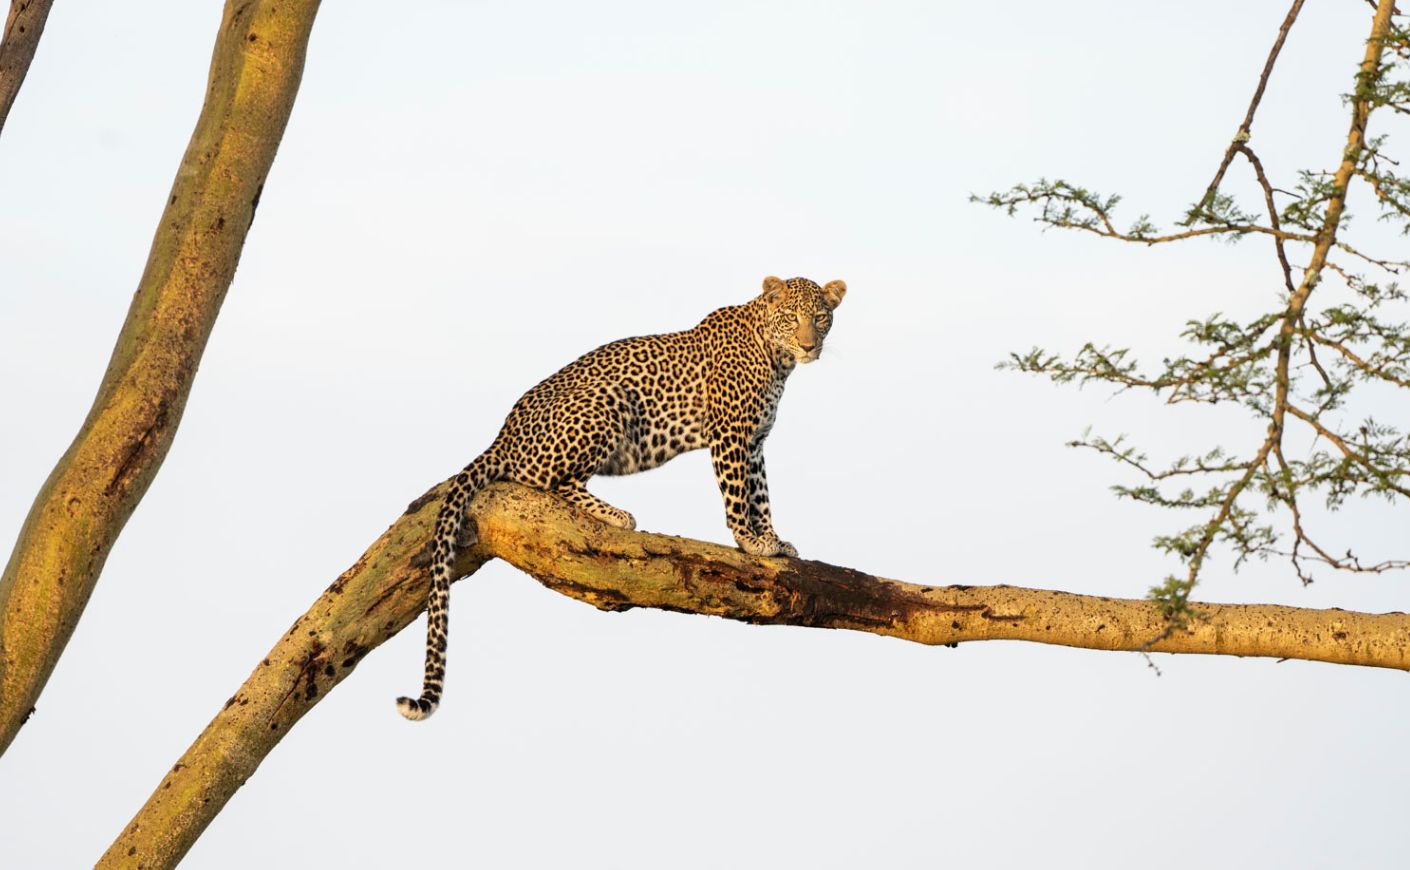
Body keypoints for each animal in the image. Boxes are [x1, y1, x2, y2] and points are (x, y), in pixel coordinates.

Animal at [397, 275, 847, 720]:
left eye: (820, 317)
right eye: (791, 317)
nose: (809, 345)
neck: (776, 358)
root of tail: (501, 436)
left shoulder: (754, 443)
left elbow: (761, 494)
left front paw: (773, 539)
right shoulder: (731, 435)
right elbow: (738, 495)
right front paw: (751, 542)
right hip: (606, 401)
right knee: (547, 482)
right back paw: (615, 515)